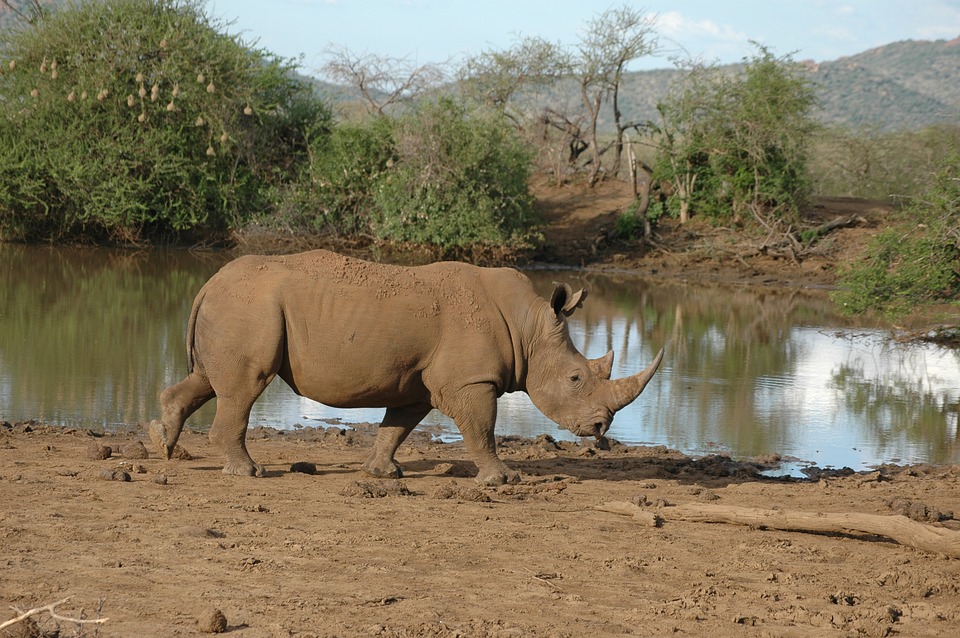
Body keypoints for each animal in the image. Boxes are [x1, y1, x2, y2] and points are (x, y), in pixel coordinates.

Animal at [149, 249, 664, 485]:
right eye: (576, 379)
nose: (600, 427)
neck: (529, 326)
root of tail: (209, 282)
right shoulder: (469, 380)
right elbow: (482, 429)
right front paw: (502, 479)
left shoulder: (419, 381)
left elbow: (398, 424)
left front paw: (383, 473)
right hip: (250, 308)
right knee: (244, 385)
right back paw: (247, 473)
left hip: (238, 307)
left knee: (212, 380)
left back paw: (165, 446)